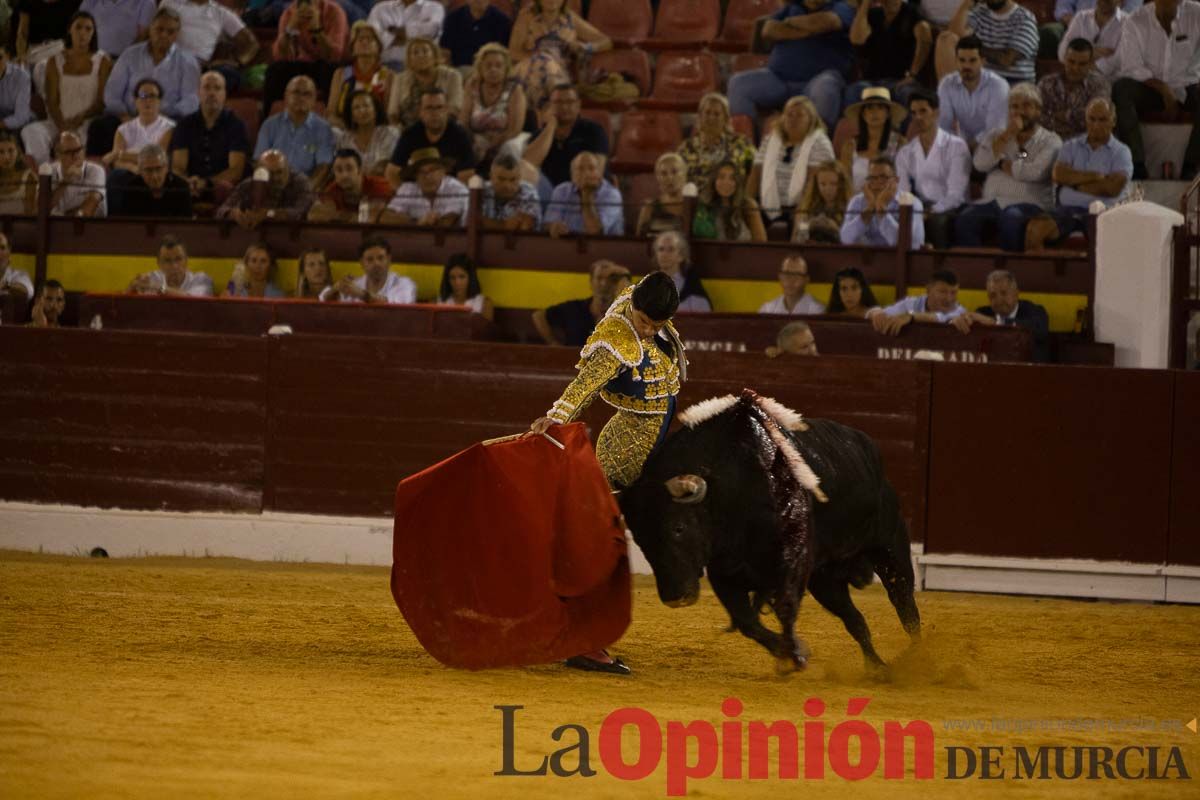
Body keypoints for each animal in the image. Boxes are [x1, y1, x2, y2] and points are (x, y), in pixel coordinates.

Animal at [619, 393, 916, 671]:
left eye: (678, 528)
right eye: (640, 539)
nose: (674, 598)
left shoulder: (791, 567)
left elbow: (784, 609)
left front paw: (795, 654)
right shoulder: (724, 572)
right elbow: (747, 622)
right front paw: (790, 653)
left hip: (890, 548)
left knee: (906, 606)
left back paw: (917, 657)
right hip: (825, 578)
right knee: (856, 620)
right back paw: (877, 668)